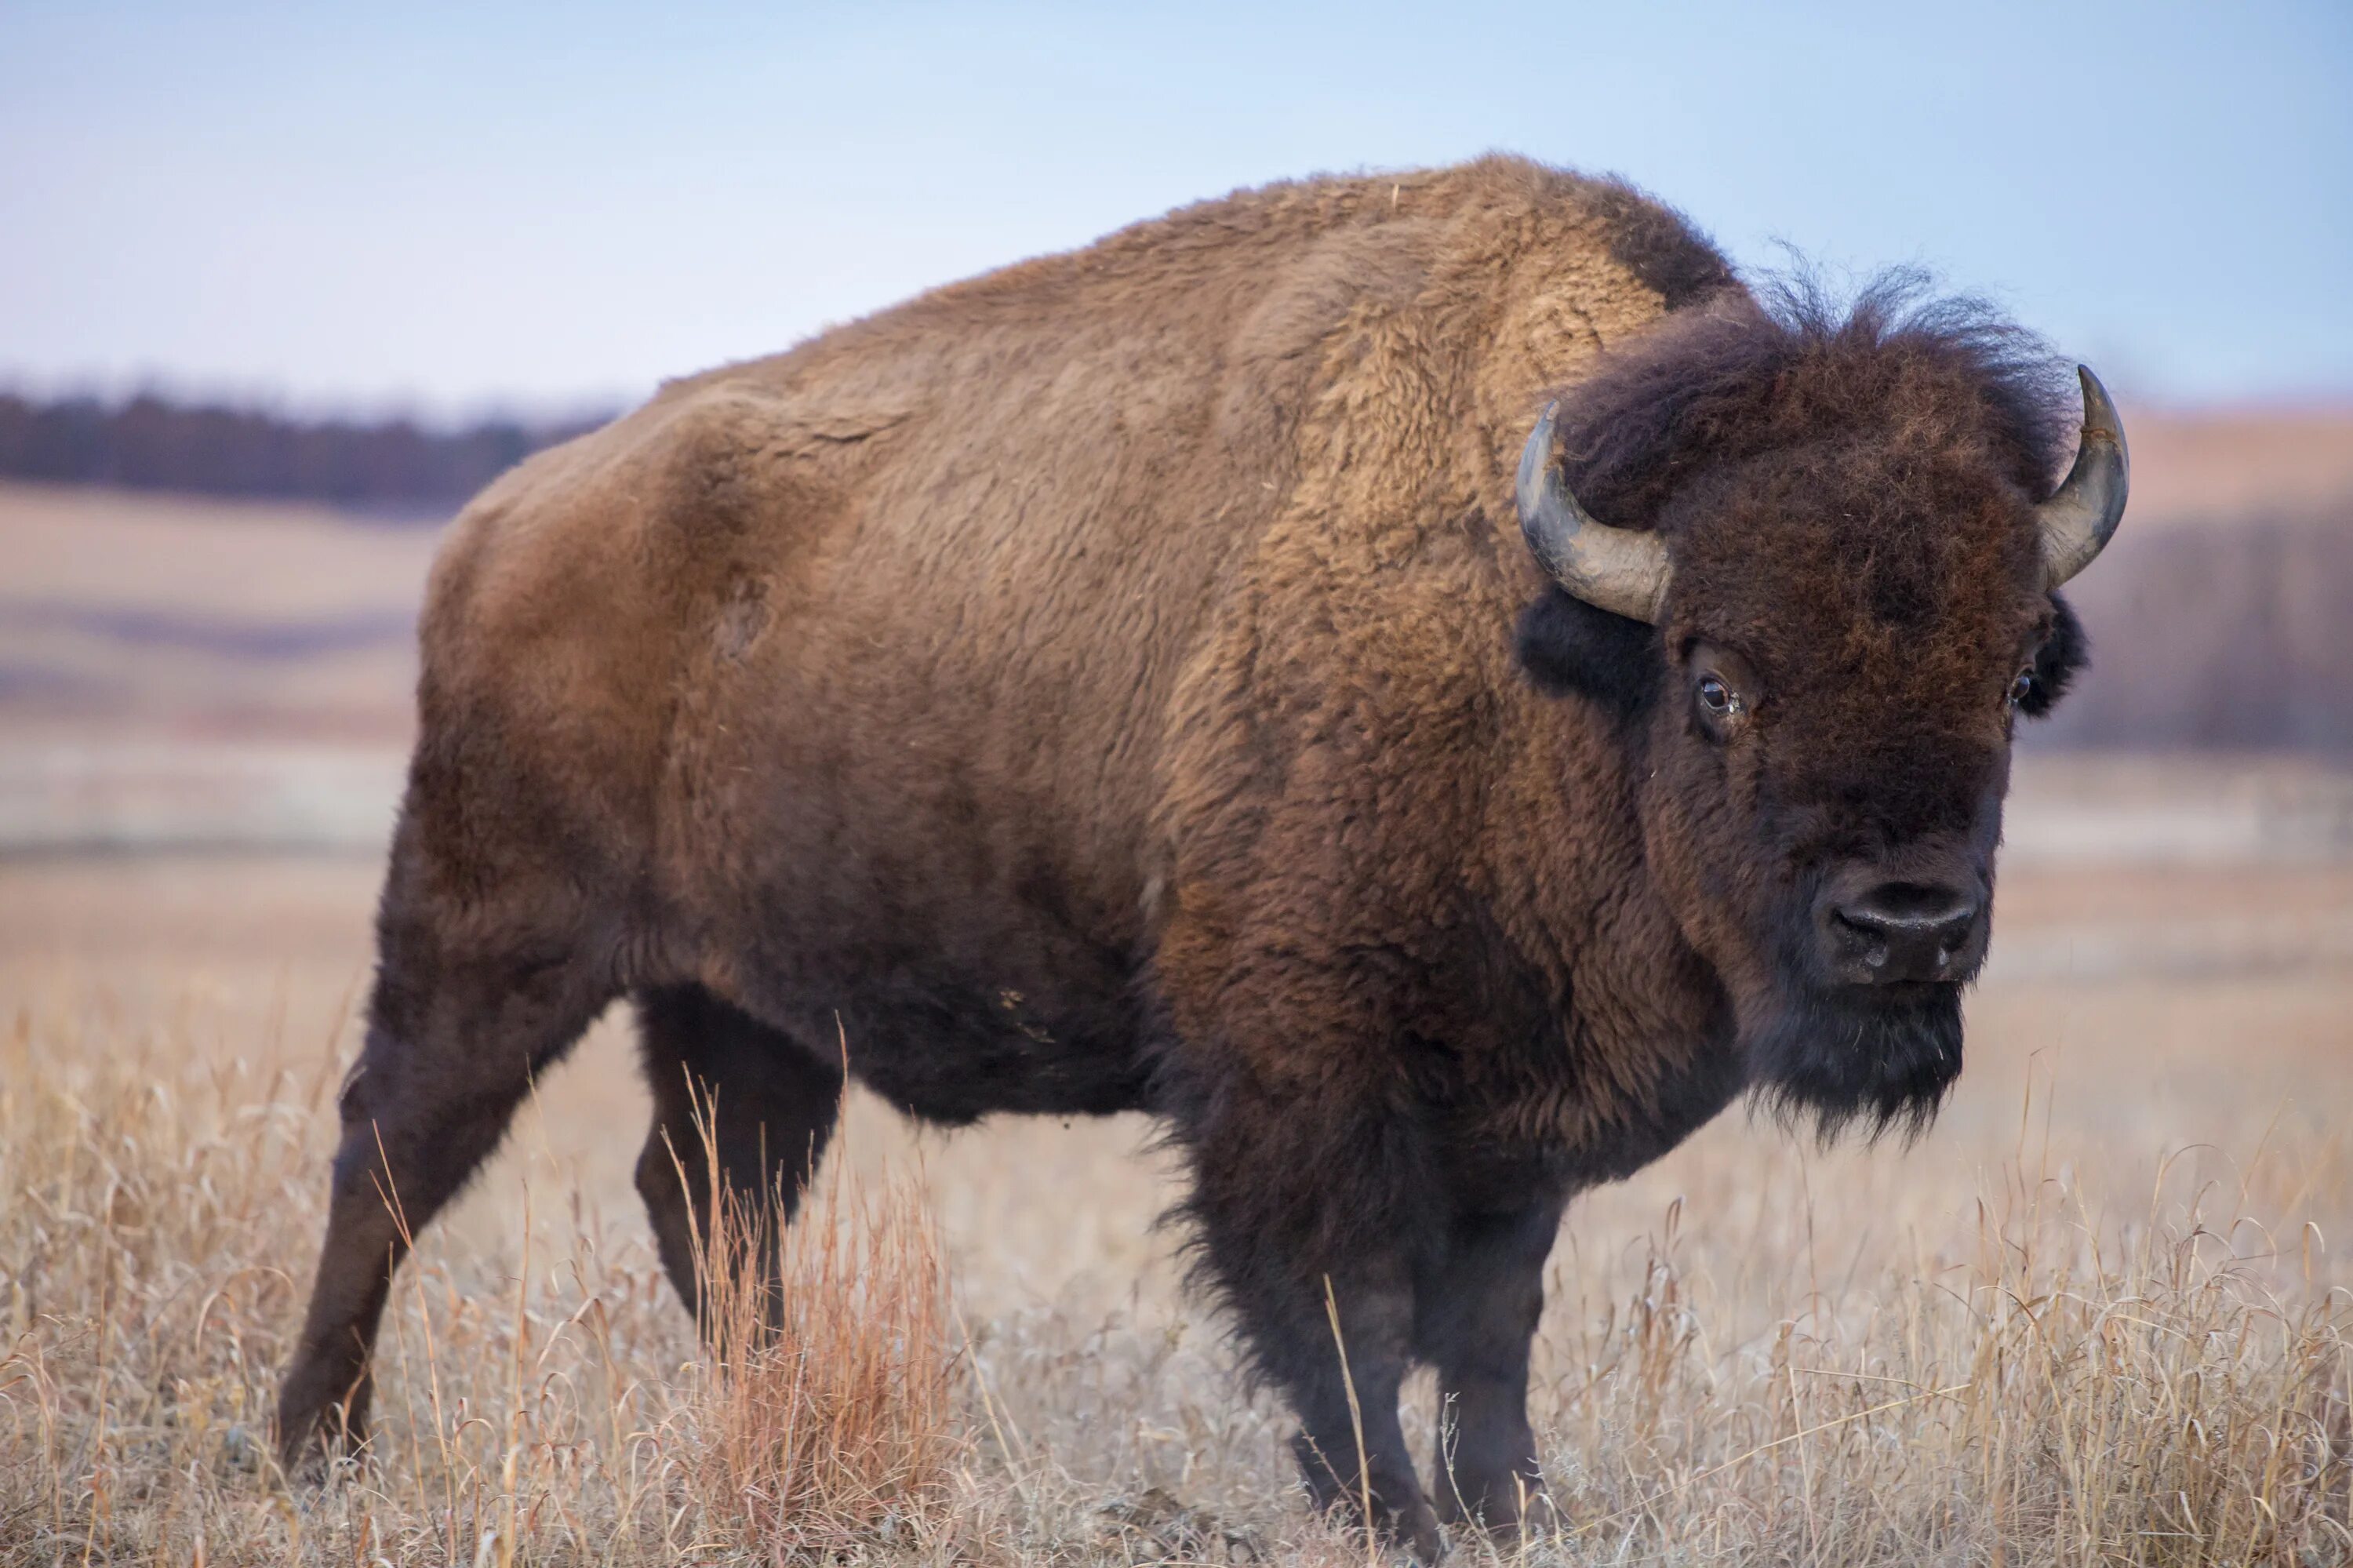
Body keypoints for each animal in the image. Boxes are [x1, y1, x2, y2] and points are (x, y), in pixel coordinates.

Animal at [285, 153, 2127, 1544]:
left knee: (710, 1199)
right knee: (396, 1150)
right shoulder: (1298, 1069)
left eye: (2011, 672)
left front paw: (1509, 1506)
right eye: (1720, 677)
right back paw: (314, 1447)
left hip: (741, 1006)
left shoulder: (1510, 1115)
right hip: (496, 928)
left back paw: (771, 1419)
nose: (1907, 922)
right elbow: (1345, 1310)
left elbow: (1494, 1326)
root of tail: (505, 519)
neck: (1543, 642)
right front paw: (1389, 1512)